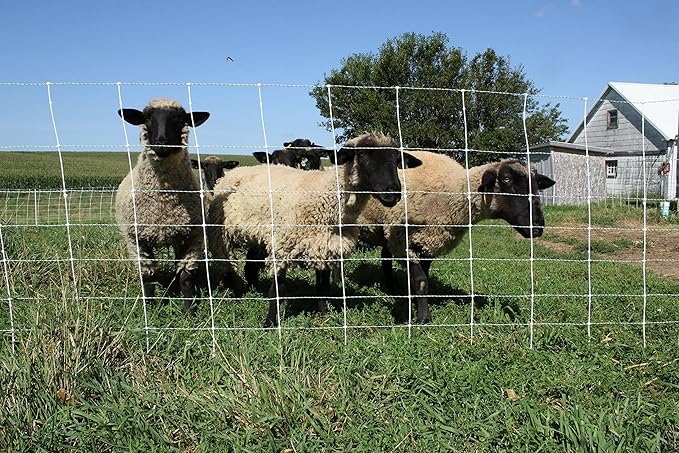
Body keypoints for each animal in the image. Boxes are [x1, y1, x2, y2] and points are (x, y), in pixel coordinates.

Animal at [115, 98, 211, 315]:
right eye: (147, 118)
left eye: (180, 118)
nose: (161, 142)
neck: (164, 199)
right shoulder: (136, 239)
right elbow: (148, 276)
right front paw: (149, 308)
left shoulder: (193, 236)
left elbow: (186, 278)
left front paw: (188, 312)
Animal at [207, 132, 422, 327]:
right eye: (361, 154)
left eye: (397, 160)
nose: (392, 194)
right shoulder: (283, 247)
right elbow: (277, 289)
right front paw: (270, 323)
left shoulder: (325, 246)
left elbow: (323, 286)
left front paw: (324, 316)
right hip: (221, 233)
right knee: (227, 263)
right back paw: (235, 293)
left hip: (259, 235)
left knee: (250, 264)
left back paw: (252, 288)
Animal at [356, 150, 556, 324]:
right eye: (506, 179)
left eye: (536, 184)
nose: (538, 227)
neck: (451, 192)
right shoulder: (402, 242)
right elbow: (421, 281)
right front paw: (423, 318)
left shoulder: (430, 242)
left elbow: (423, 279)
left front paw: (414, 302)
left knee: (385, 256)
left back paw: (392, 289)